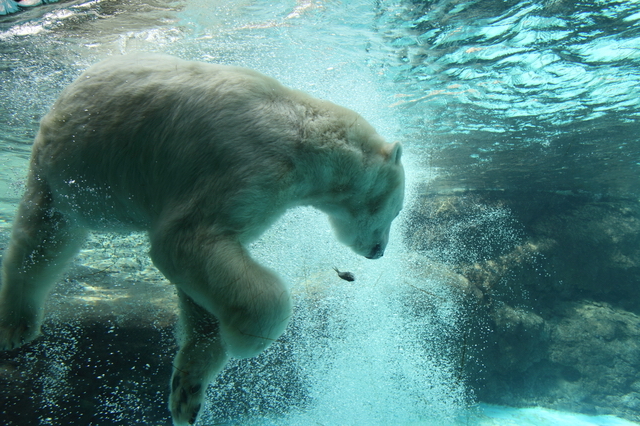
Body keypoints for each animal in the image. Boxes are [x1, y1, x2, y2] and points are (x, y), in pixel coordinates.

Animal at [0, 52, 402, 422]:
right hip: (68, 162)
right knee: (42, 237)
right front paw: (245, 339)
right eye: (396, 212)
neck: (302, 136)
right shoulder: (245, 164)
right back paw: (16, 324)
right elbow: (185, 240)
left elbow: (204, 278)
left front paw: (188, 389)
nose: (380, 251)